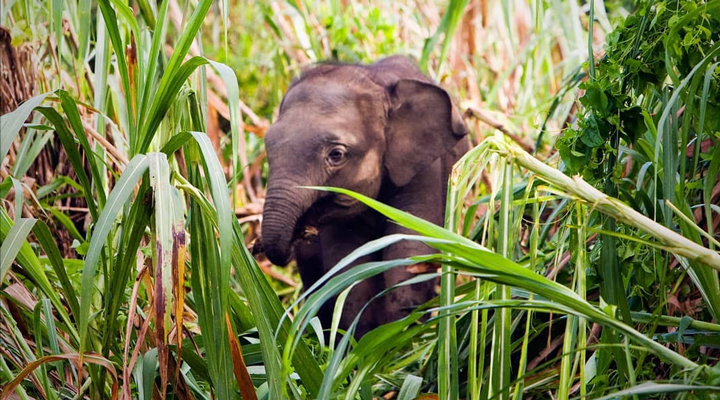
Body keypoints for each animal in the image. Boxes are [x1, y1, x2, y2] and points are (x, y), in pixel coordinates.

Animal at [262, 54, 470, 336]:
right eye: (268, 148)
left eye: (336, 154)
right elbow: (348, 265)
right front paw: (364, 339)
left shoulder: (424, 170)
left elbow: (408, 247)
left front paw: (399, 336)